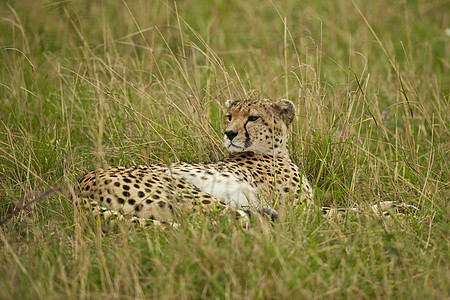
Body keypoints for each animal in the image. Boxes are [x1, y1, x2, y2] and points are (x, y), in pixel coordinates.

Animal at [75, 98, 416, 227]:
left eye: (252, 117)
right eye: (229, 116)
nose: (229, 133)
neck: (272, 152)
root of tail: (80, 183)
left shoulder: (306, 205)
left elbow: (346, 206)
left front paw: (397, 206)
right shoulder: (301, 211)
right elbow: (343, 213)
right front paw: (393, 214)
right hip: (186, 191)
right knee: (231, 222)